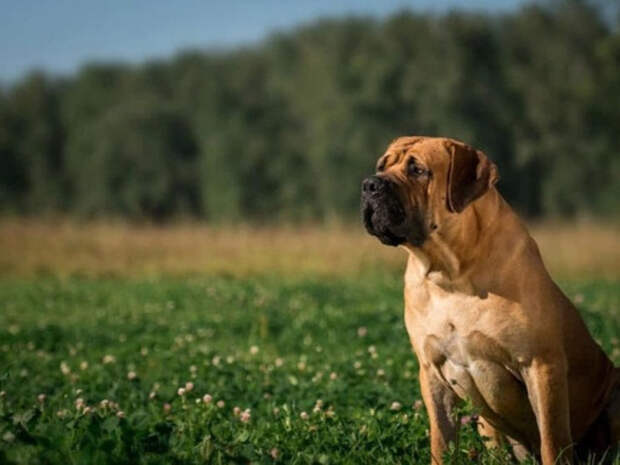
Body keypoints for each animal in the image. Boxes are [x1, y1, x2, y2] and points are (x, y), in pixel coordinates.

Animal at [360, 136, 616, 462]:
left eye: (417, 169)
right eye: (382, 166)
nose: (370, 184)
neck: (451, 273)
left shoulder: (541, 365)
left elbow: (552, 440)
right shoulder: (432, 373)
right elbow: (441, 441)